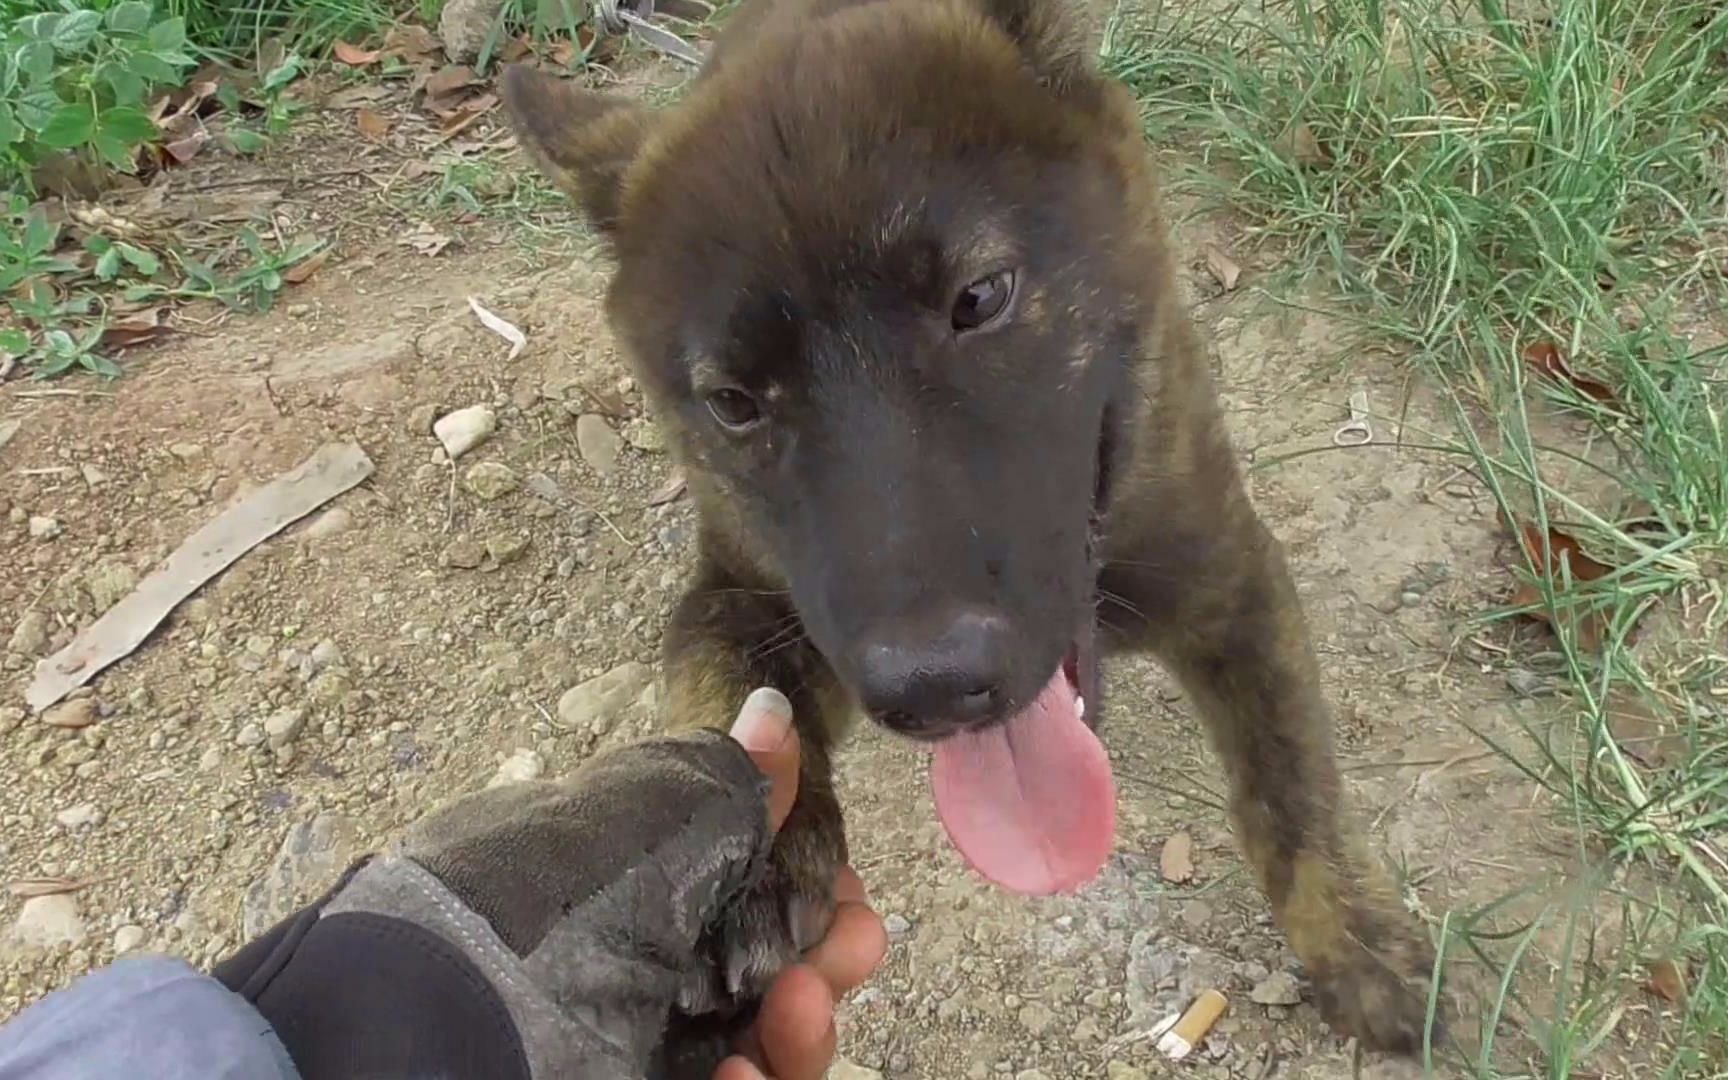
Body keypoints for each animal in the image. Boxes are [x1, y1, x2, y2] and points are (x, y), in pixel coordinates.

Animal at [504, 0, 1437, 1050]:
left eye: (980, 298)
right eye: (734, 404)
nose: (937, 690)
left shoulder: (1228, 569)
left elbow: (1289, 780)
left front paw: (1357, 943)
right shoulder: (740, 590)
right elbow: (721, 691)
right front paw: (745, 864)